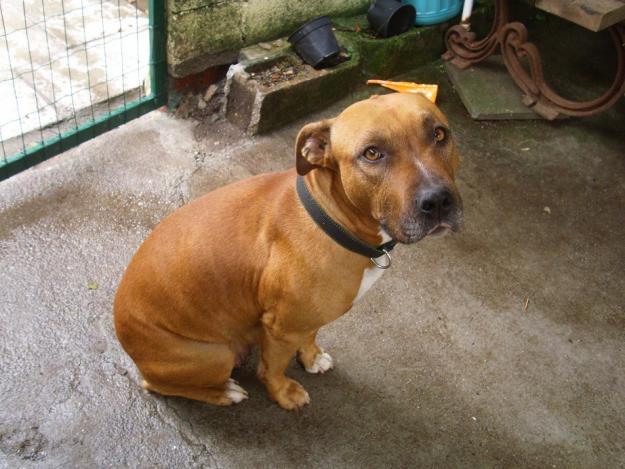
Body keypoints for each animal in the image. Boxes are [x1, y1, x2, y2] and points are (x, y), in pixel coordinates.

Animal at [114, 93, 460, 408]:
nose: (438, 200)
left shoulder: (307, 317)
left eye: (439, 134)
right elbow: (272, 369)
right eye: (372, 153)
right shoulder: (282, 329)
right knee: (158, 385)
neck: (332, 219)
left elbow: (311, 334)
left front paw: (311, 357)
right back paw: (224, 392)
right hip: (212, 355)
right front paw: (284, 393)